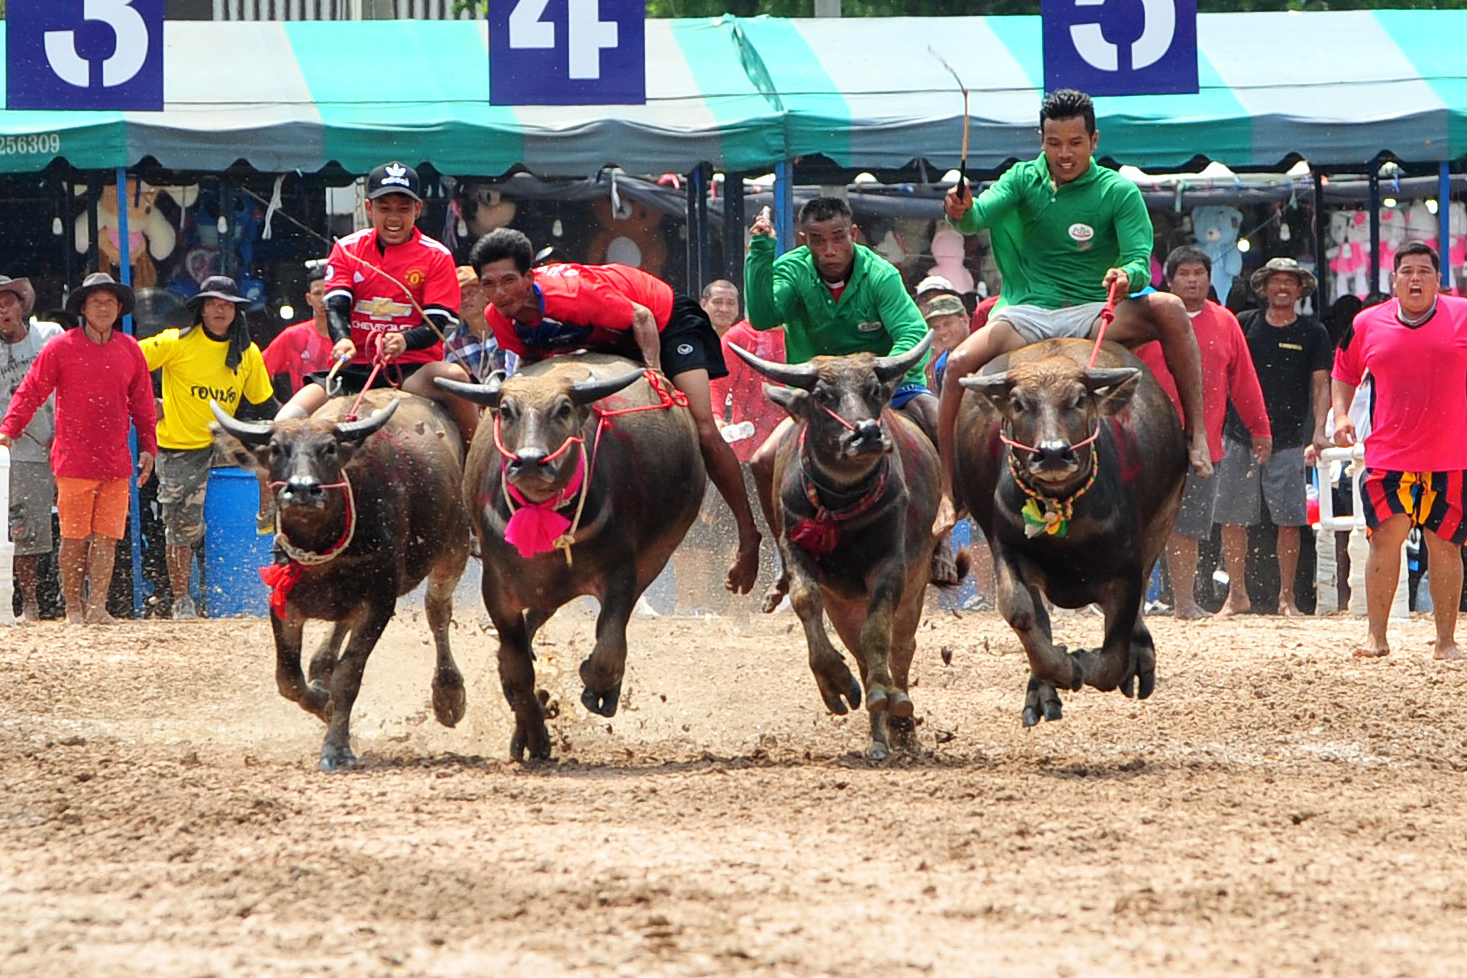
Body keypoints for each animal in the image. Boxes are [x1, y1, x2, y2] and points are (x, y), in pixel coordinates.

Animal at [206, 392, 466, 774]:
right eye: (276, 449)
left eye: (328, 448)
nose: (302, 490)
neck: (322, 549)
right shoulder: (284, 602)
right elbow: (288, 678)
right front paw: (322, 701)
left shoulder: (378, 603)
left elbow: (348, 676)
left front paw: (336, 747)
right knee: (332, 638)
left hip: (453, 547)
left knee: (437, 612)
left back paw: (449, 694)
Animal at [434, 353, 704, 762]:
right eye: (506, 411)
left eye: (563, 410)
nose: (531, 461)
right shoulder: (496, 586)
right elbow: (517, 667)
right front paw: (533, 733)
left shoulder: (622, 573)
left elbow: (608, 648)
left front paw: (596, 688)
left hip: (654, 559)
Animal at [730, 332, 944, 762]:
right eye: (822, 396)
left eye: (874, 390)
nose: (867, 434)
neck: (843, 505)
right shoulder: (801, 556)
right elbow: (805, 601)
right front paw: (836, 684)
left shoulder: (890, 566)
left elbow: (879, 633)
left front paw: (883, 692)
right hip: (844, 602)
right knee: (860, 650)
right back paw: (879, 740)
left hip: (914, 587)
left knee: (901, 648)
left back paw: (901, 721)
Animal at [950, 337, 1191, 727]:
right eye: (1018, 403)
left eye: (1079, 399)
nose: (1052, 454)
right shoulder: (1007, 547)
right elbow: (1021, 612)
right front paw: (1061, 669)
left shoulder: (1127, 567)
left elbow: (1114, 653)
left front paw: (1086, 661)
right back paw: (1041, 692)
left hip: (1164, 520)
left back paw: (1140, 656)